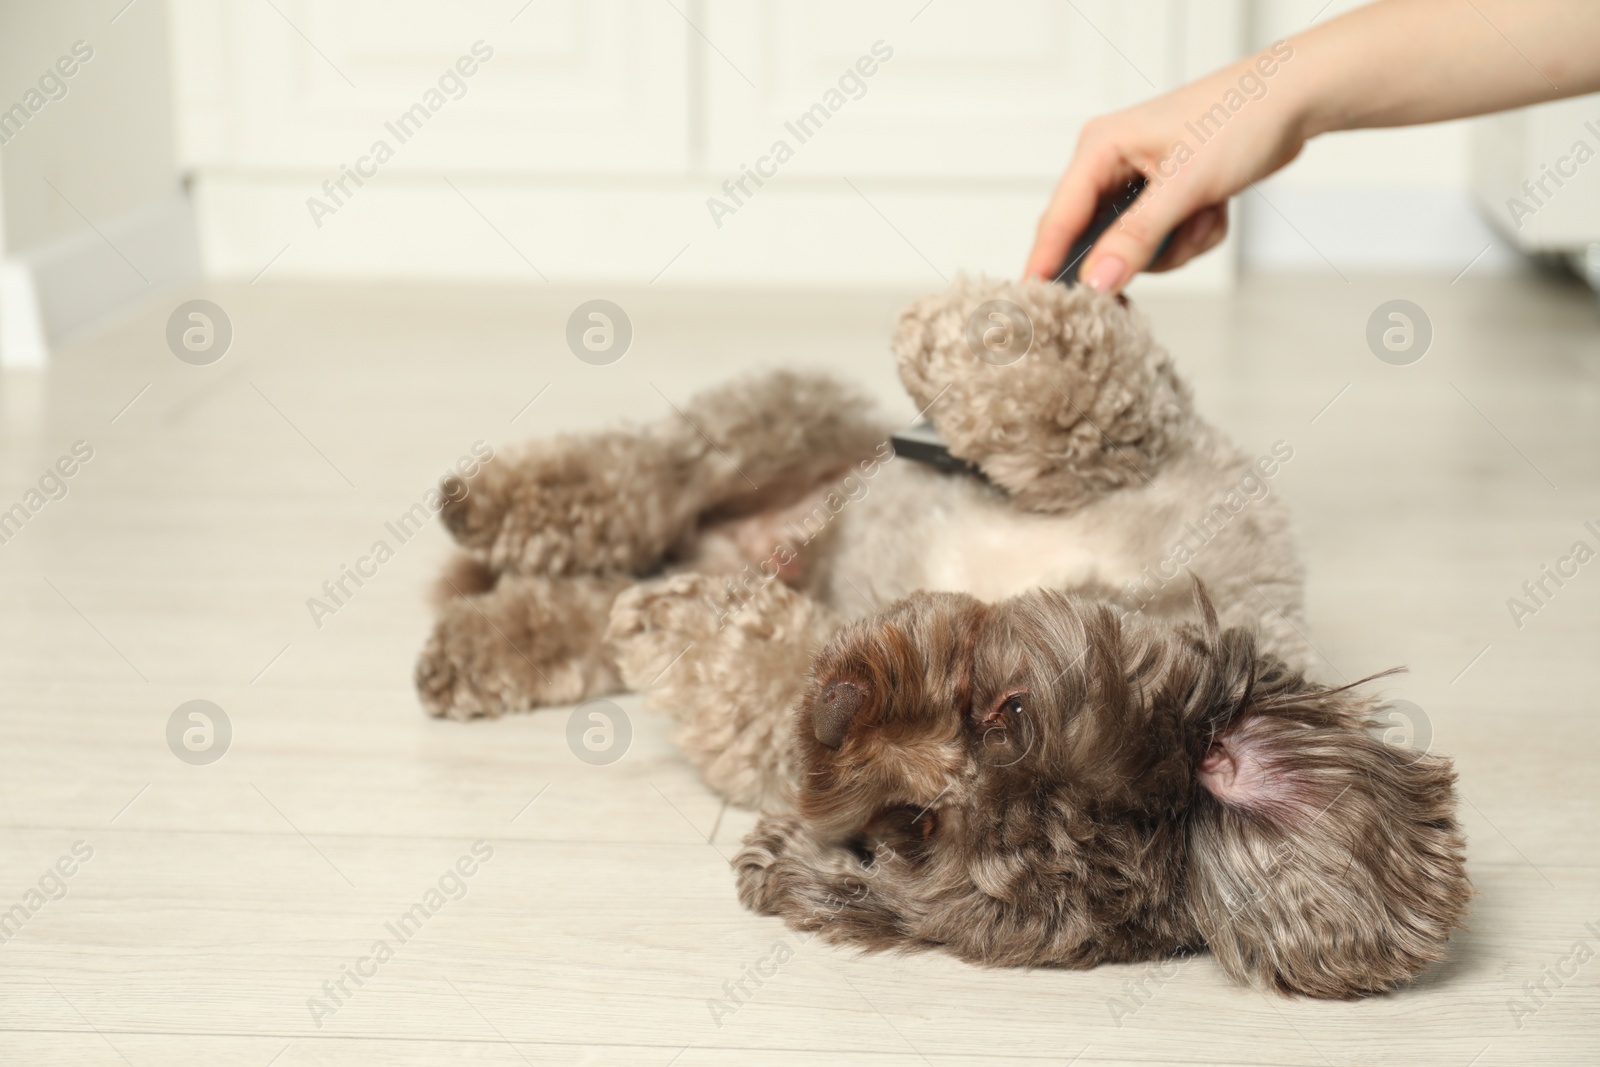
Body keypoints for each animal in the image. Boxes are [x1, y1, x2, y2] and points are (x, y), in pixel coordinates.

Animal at [419, 278, 1465, 1004]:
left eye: (913, 829)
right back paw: (488, 505)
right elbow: (1094, 400)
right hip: (775, 419)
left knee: (596, 589)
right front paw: (956, 332)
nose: (838, 712)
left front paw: (695, 632)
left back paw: (492, 640)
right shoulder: (1178, 458)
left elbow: (753, 675)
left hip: (695, 535)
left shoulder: (774, 725)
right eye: (1007, 710)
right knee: (642, 470)